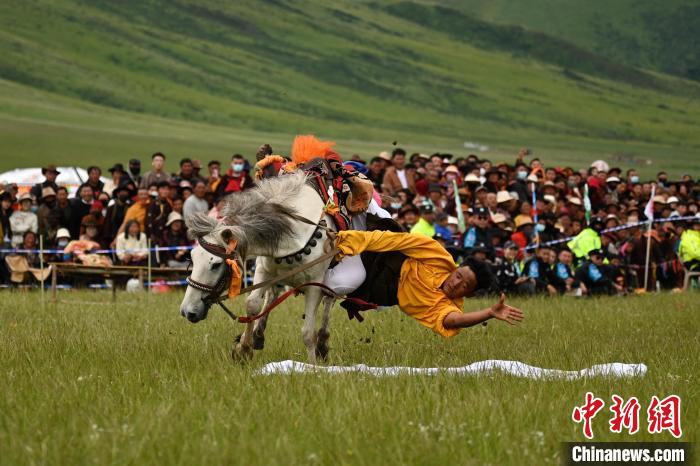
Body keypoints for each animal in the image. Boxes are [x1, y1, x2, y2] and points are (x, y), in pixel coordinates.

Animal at [179, 172, 334, 364]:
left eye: (215, 264)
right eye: (192, 258)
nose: (187, 311)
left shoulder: (314, 284)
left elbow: (307, 332)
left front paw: (312, 365)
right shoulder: (264, 271)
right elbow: (252, 304)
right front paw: (244, 348)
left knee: (329, 301)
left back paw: (322, 343)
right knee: (272, 295)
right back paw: (258, 335)